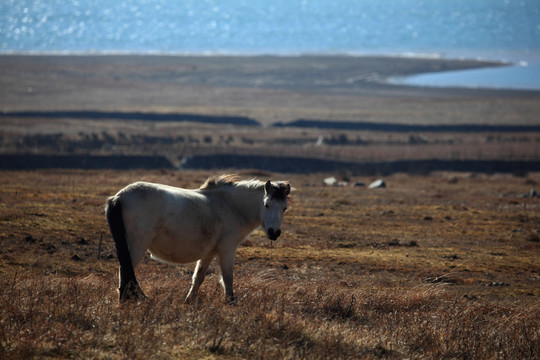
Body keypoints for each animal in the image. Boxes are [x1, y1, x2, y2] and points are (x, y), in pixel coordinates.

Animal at [105, 174, 292, 304]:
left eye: (284, 208)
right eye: (267, 204)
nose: (274, 232)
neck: (230, 206)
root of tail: (119, 197)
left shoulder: (209, 253)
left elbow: (198, 277)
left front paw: (189, 301)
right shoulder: (227, 250)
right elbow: (228, 278)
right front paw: (231, 303)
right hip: (136, 246)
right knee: (125, 274)